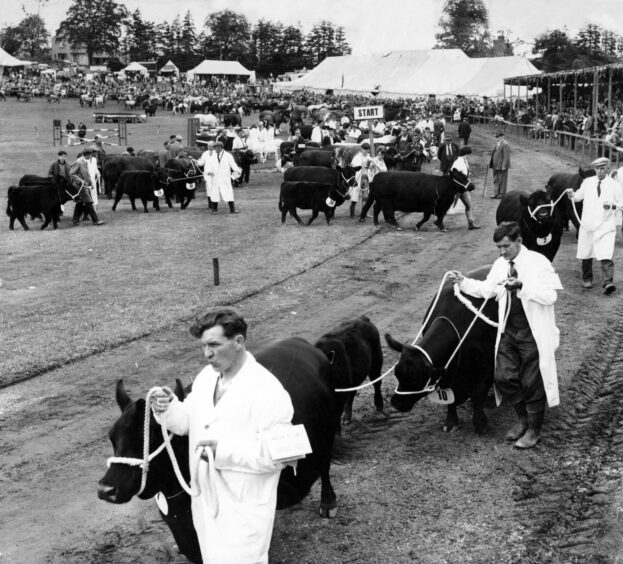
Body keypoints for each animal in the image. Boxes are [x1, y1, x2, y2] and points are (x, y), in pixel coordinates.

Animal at [388, 266, 500, 434]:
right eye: (397, 374)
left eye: (417, 380)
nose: (396, 403)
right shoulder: (447, 372)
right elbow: (450, 397)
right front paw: (451, 422)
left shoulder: (487, 365)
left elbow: (478, 394)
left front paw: (480, 423)